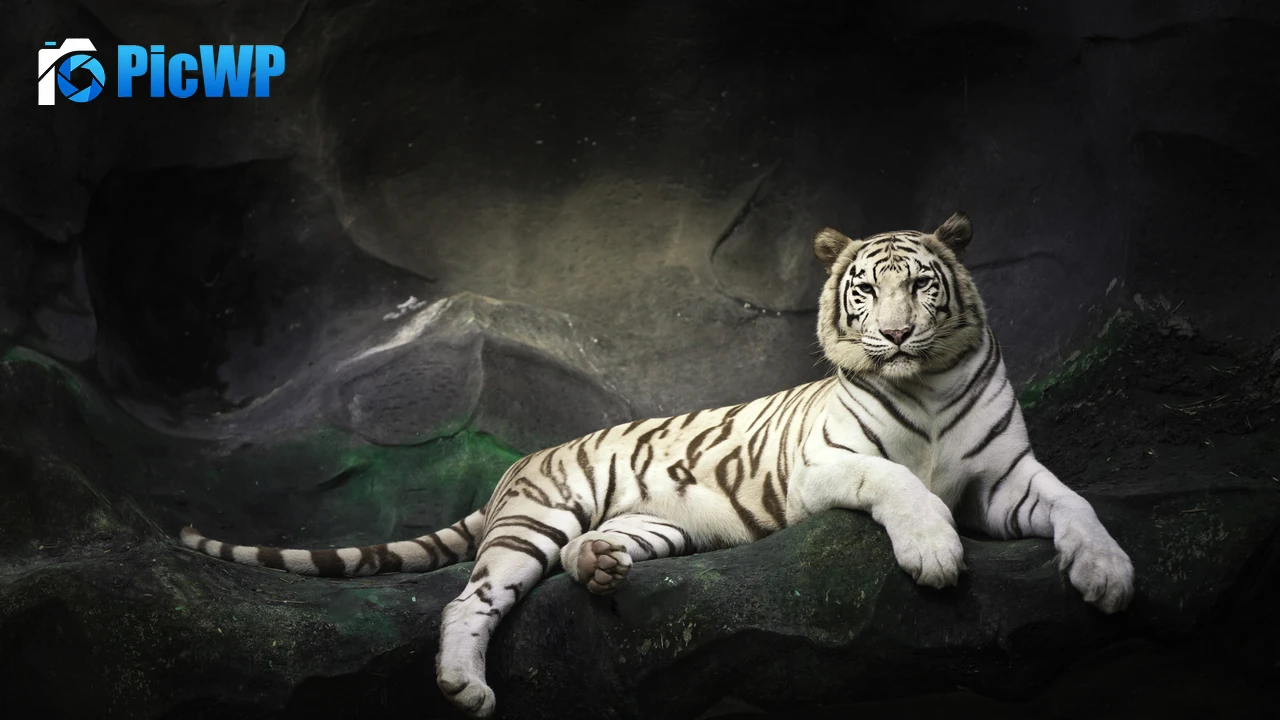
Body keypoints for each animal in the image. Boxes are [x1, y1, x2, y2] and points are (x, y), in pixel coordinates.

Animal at [180, 211, 1135, 719]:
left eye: (924, 287)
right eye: (867, 290)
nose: (896, 334)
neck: (926, 385)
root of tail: (515, 469)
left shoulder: (1006, 479)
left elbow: (1077, 504)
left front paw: (1110, 575)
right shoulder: (825, 465)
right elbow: (896, 480)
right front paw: (934, 555)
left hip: (653, 522)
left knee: (585, 557)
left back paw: (602, 567)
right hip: (539, 519)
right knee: (470, 597)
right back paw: (464, 685)